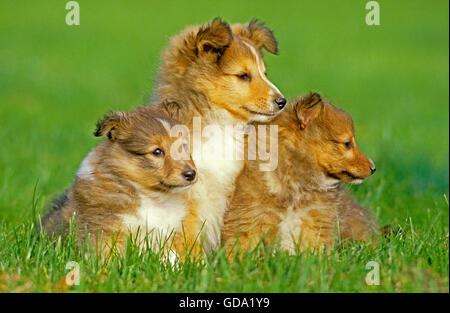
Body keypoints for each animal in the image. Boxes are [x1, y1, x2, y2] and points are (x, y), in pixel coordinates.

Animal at [42, 106, 200, 260]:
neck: (153, 197)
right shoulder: (104, 230)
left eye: (183, 146)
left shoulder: (173, 231)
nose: (191, 174)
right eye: (157, 151)